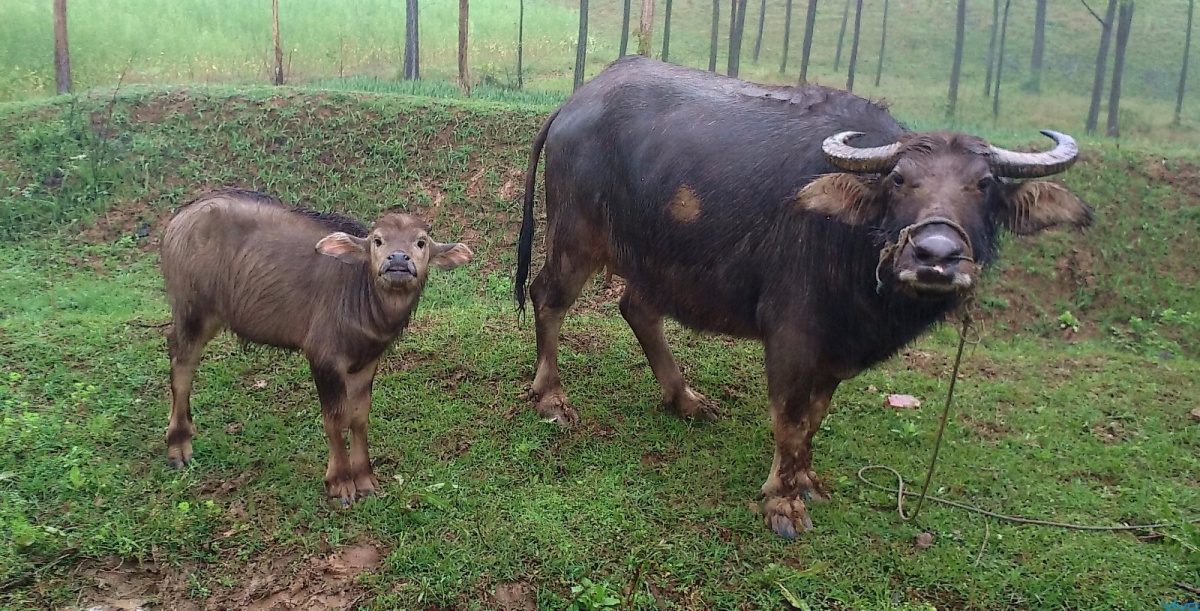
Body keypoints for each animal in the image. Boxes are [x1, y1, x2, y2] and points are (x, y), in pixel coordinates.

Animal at [511, 56, 1094, 532]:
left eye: (985, 184)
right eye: (900, 179)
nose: (935, 255)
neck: (856, 251)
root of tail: (576, 102)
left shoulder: (836, 346)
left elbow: (814, 416)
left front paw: (807, 480)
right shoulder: (793, 333)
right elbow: (790, 419)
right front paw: (782, 503)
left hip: (654, 258)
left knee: (636, 308)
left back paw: (686, 399)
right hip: (576, 234)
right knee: (549, 298)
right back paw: (551, 398)